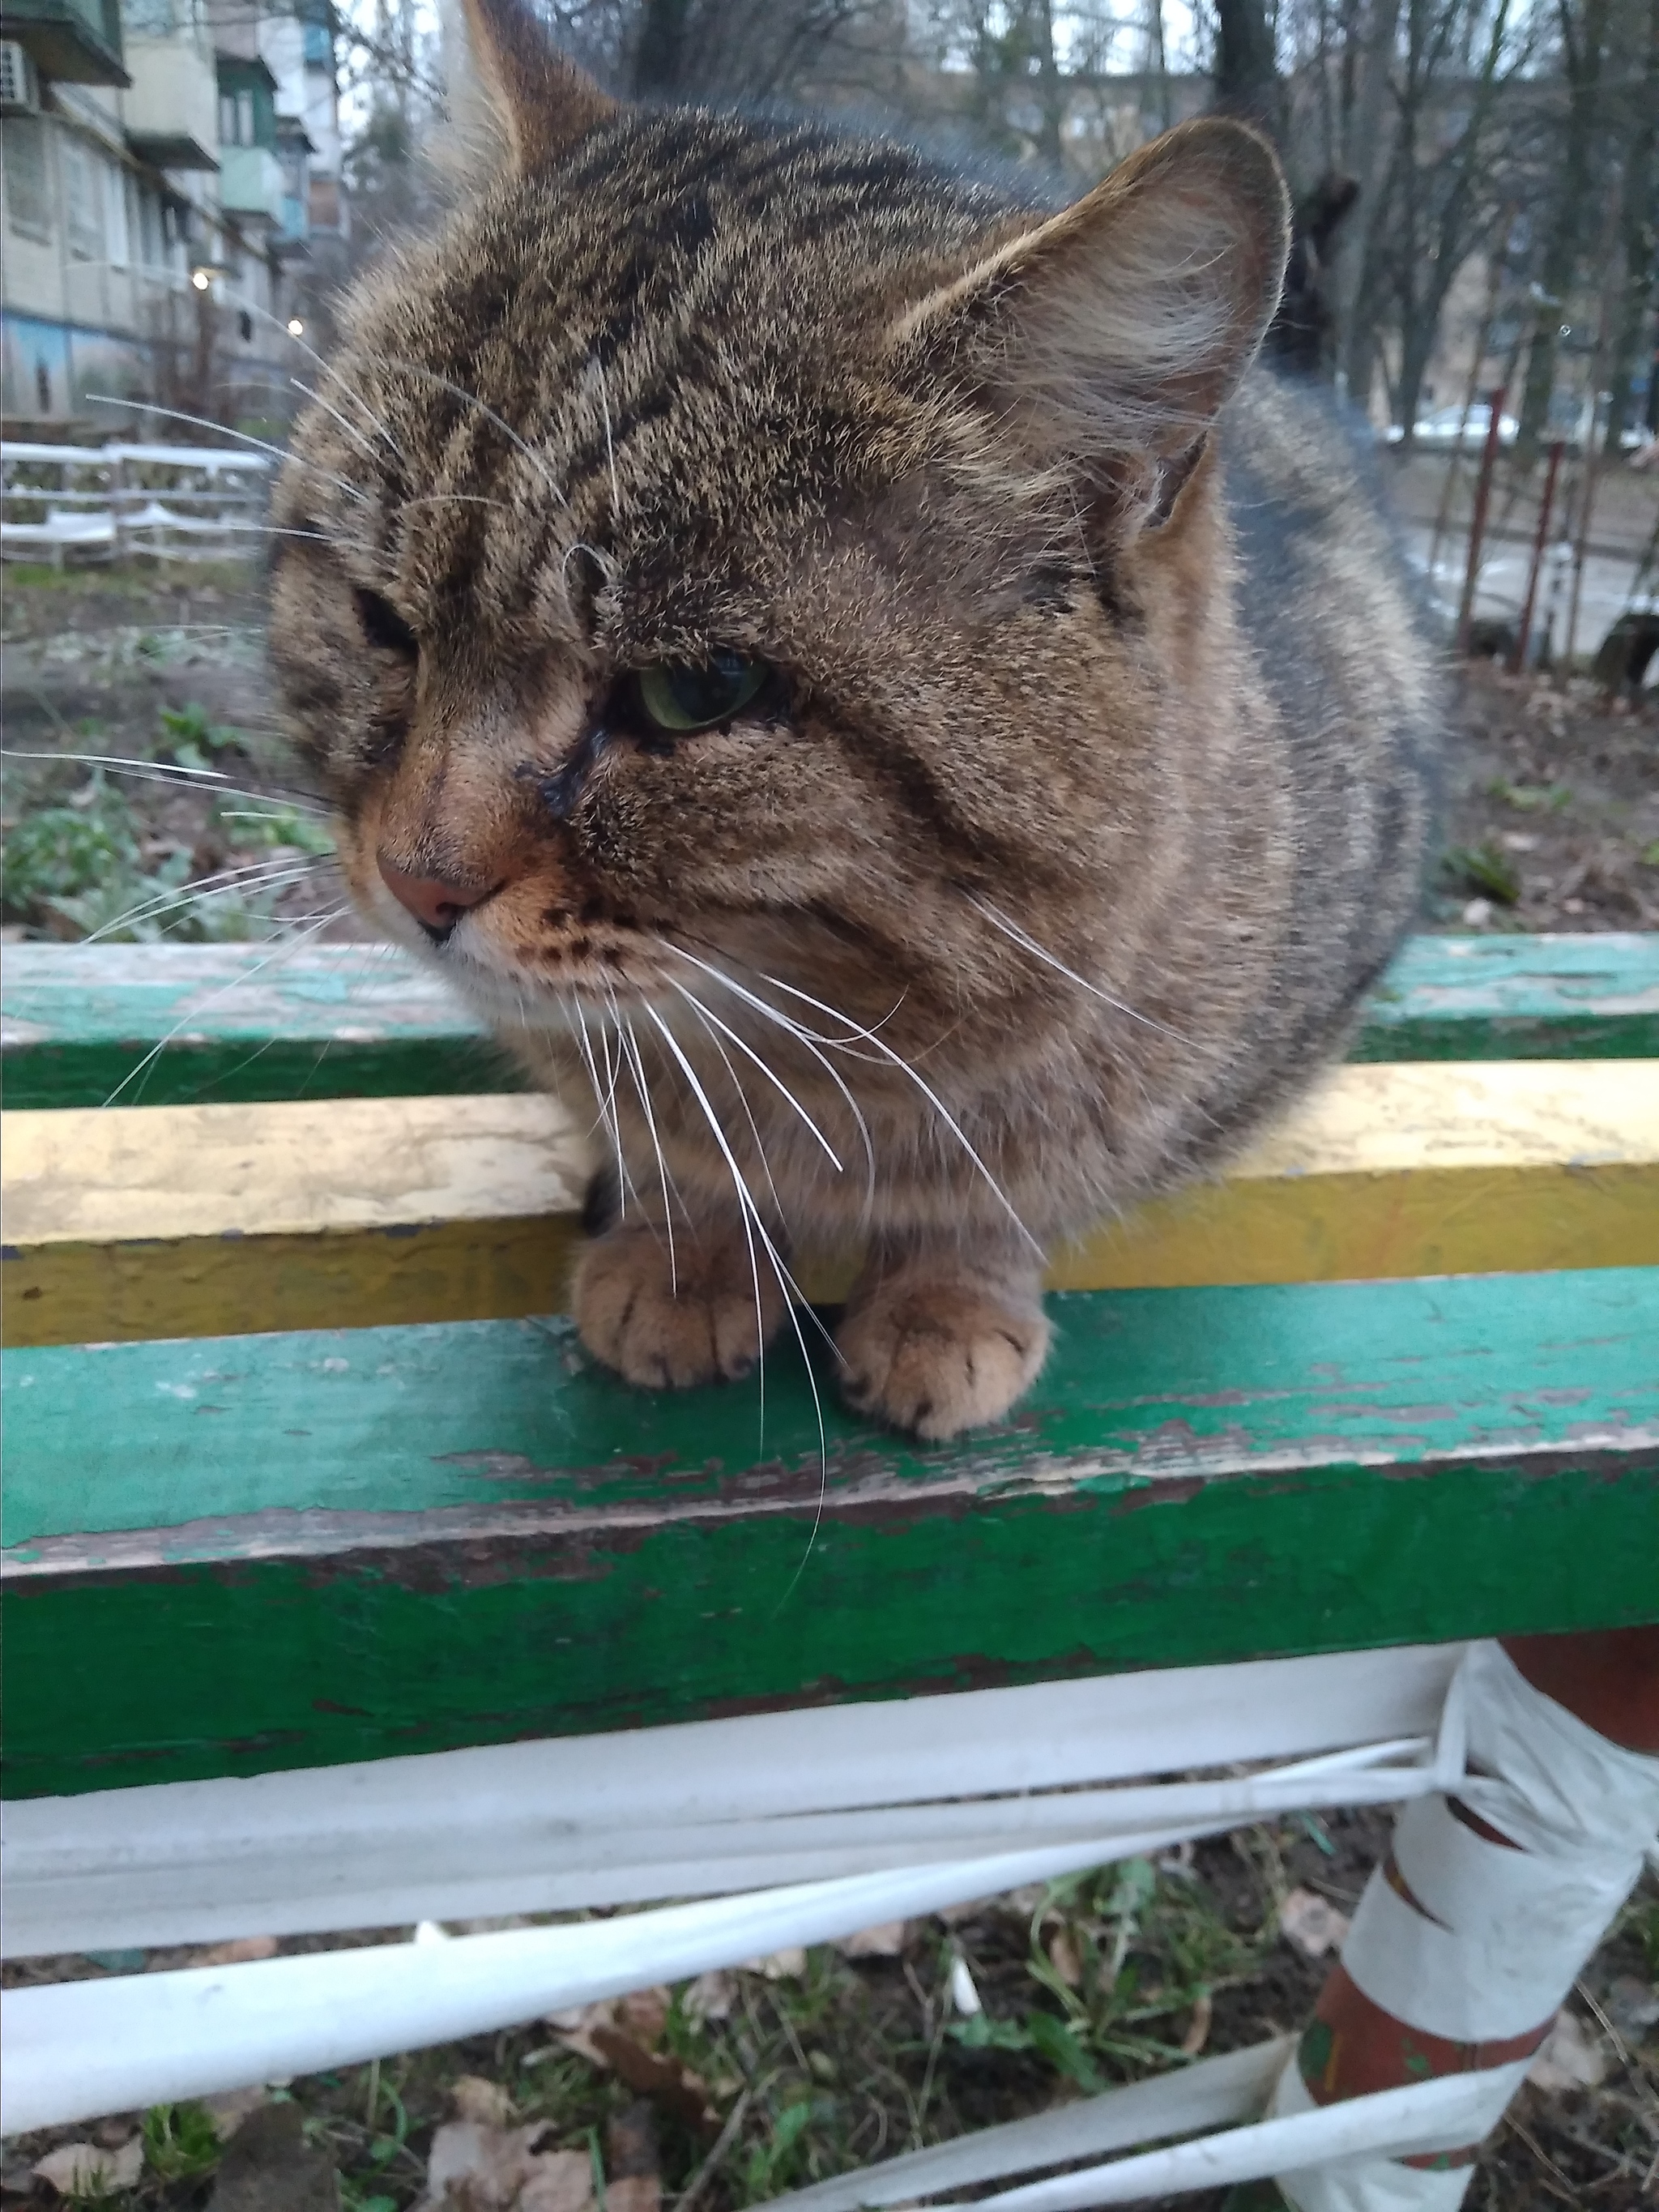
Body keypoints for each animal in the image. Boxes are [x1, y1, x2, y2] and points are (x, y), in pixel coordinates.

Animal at [273, 0, 1442, 1441]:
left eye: (697, 692)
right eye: (385, 619)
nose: (415, 881)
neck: (832, 1049)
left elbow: (1012, 1188)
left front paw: (949, 1293)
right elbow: (657, 1134)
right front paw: (684, 1247)